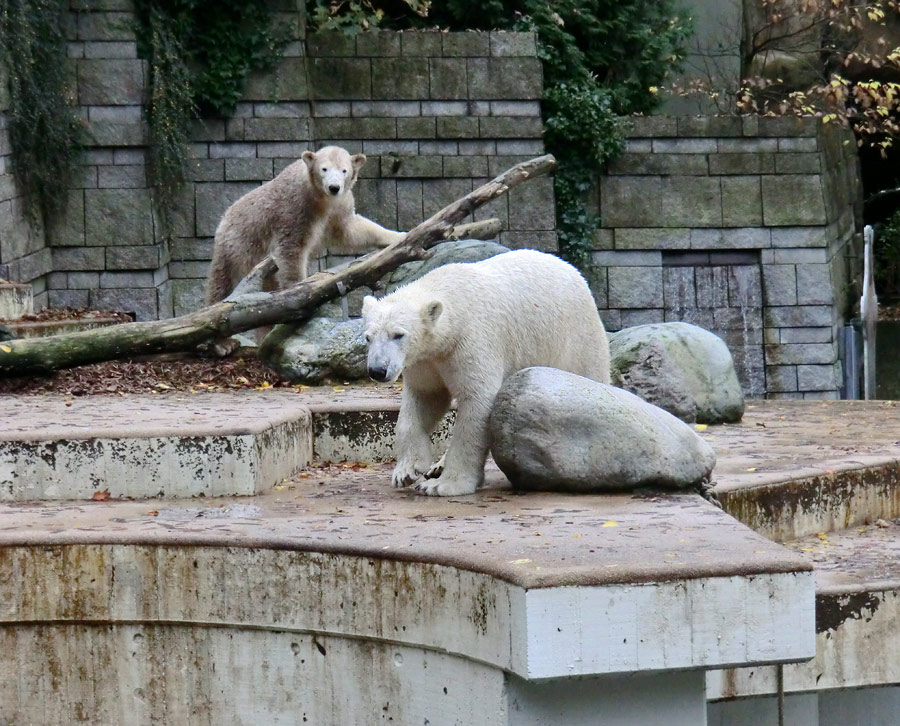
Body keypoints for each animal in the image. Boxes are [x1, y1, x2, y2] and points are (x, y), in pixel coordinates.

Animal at [207, 146, 404, 306]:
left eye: (344, 170)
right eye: (324, 168)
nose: (334, 187)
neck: (320, 198)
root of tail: (223, 221)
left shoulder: (339, 206)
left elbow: (351, 230)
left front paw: (399, 236)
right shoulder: (295, 208)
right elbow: (291, 248)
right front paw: (297, 289)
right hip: (236, 250)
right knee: (222, 284)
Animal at [360, 247, 612, 498]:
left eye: (398, 334)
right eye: (368, 337)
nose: (378, 370)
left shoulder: (471, 341)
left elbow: (477, 401)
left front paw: (443, 485)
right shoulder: (426, 359)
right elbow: (425, 398)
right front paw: (407, 471)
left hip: (576, 336)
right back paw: (437, 466)